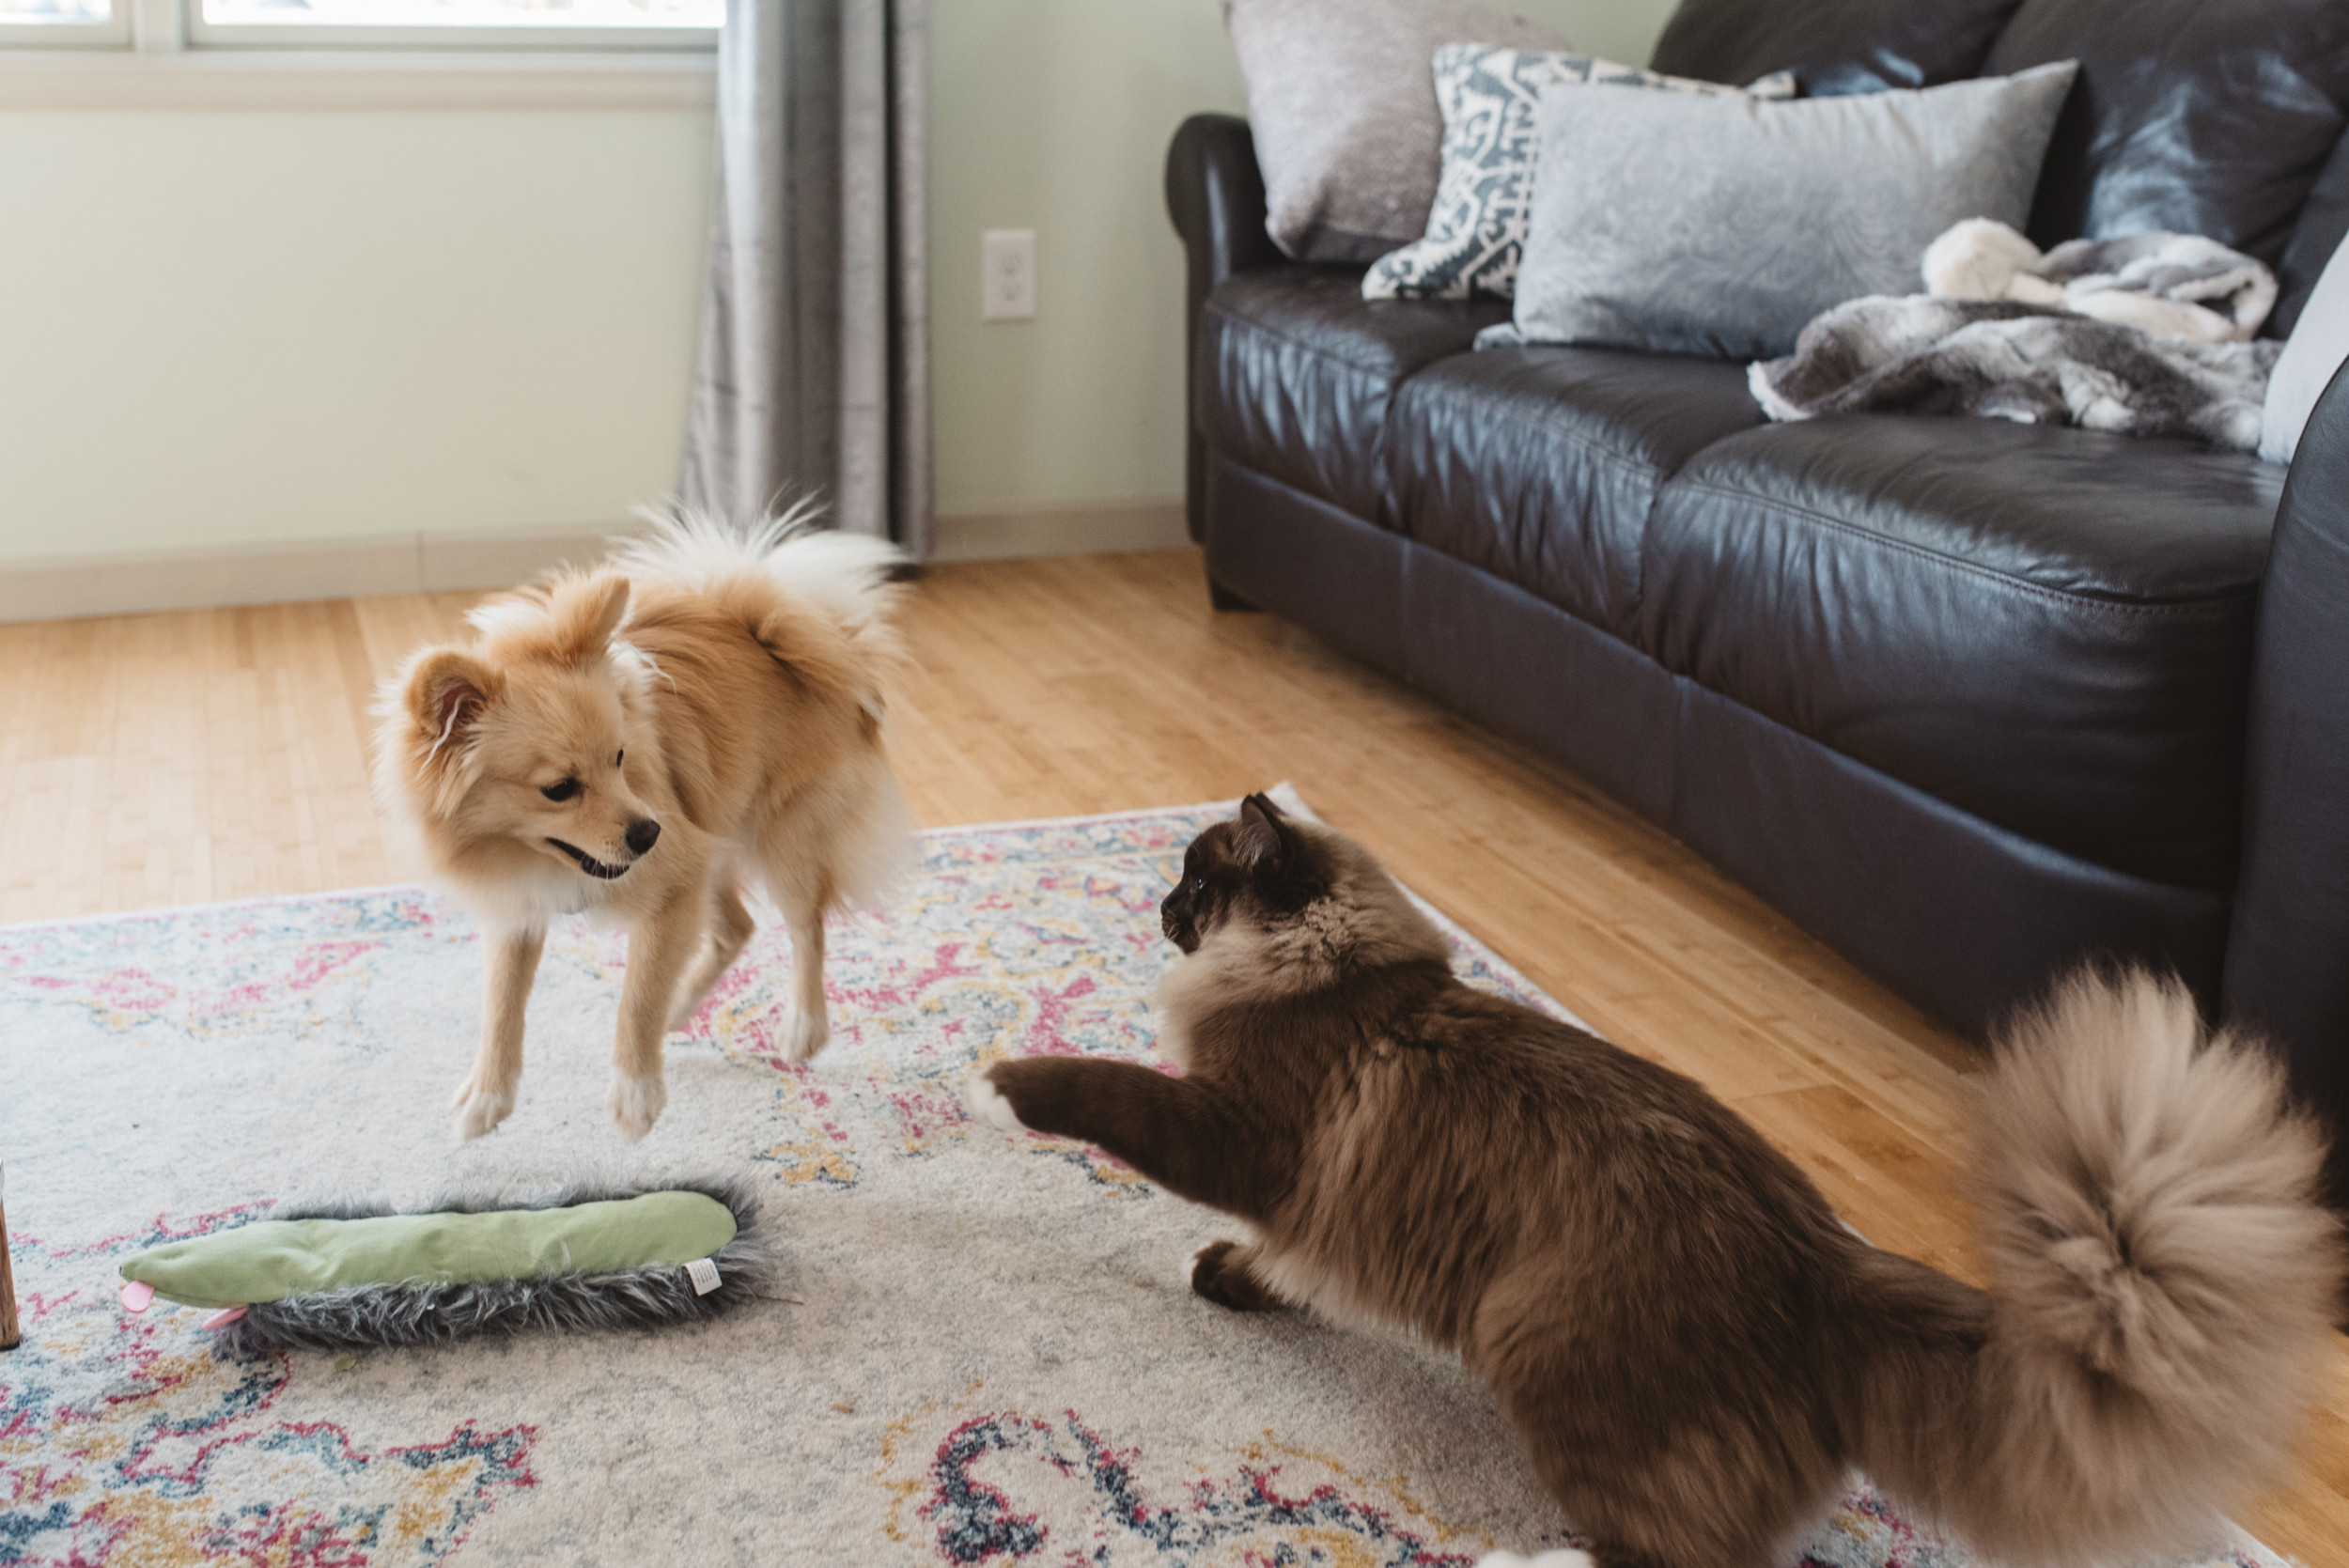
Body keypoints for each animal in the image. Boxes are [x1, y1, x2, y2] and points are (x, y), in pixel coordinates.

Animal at [371, 511, 911, 1141]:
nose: (649, 834)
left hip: (782, 842)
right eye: (560, 789)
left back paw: (801, 1026)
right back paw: (680, 1010)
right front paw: (488, 1096)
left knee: (808, 927)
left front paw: (636, 1092)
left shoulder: (673, 881)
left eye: (620, 758)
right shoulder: (519, 909)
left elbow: (639, 993)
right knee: (737, 928)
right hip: (714, 835)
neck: (532, 855)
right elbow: (501, 1005)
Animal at [963, 798, 2340, 1568]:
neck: (1333, 968)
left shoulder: (1243, 1132)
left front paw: (1005, 1079)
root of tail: (1823, 1263)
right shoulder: (1297, 1189)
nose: (1159, 906)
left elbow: (1107, 1091)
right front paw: (1234, 1275)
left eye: (1199, 886)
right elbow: (1281, 1258)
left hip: (1540, 1342)